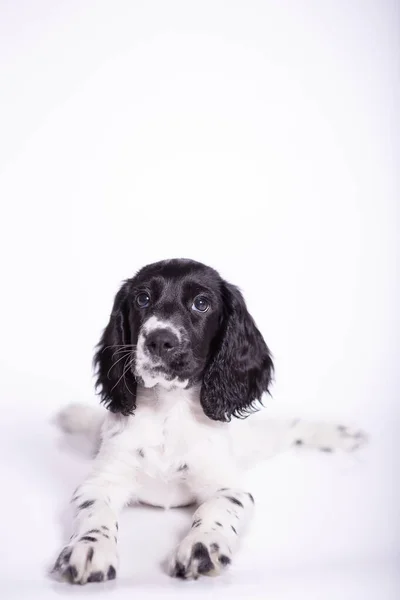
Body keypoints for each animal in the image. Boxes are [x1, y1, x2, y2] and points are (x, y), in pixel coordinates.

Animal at [51, 256, 368, 580]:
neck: (169, 410)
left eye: (201, 303)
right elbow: (95, 512)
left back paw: (339, 434)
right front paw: (90, 548)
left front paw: (202, 545)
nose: (159, 340)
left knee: (290, 428)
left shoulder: (229, 488)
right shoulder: (102, 481)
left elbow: (215, 510)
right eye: (142, 299)